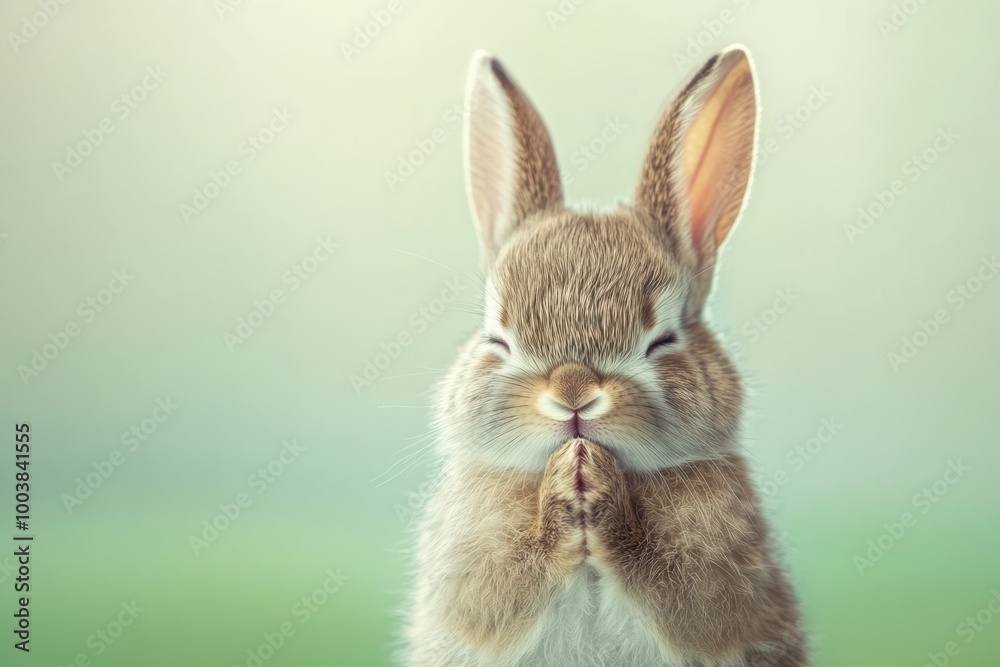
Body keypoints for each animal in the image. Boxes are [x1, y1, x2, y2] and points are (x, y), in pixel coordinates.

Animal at [402, 45, 808, 667]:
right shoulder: (469, 576)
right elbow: (501, 592)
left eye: (662, 340)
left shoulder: (723, 587)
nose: (573, 395)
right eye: (498, 339)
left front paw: (595, 485)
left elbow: (678, 593)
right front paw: (568, 484)